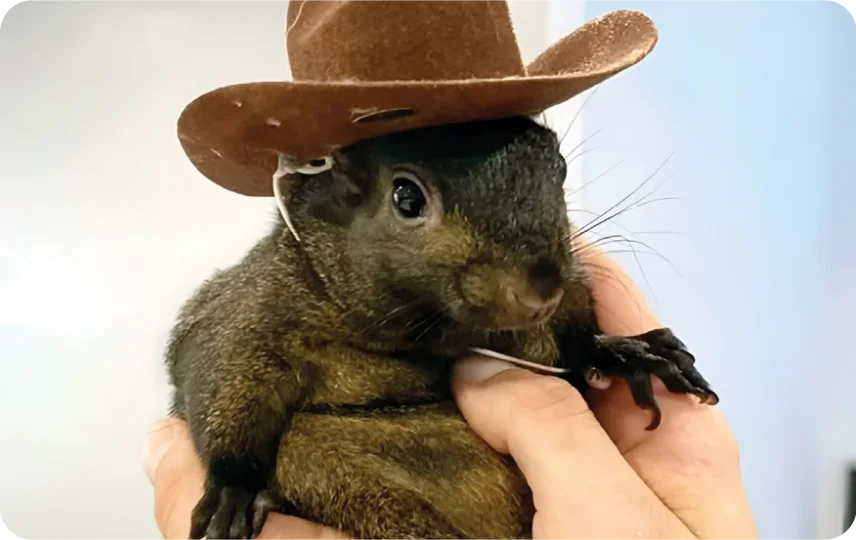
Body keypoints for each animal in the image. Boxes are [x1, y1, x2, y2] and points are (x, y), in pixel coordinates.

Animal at [165, 115, 719, 540]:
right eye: (406, 198)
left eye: (559, 170)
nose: (541, 290)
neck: (426, 331)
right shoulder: (252, 309)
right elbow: (222, 374)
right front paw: (232, 489)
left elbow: (573, 344)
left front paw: (621, 352)